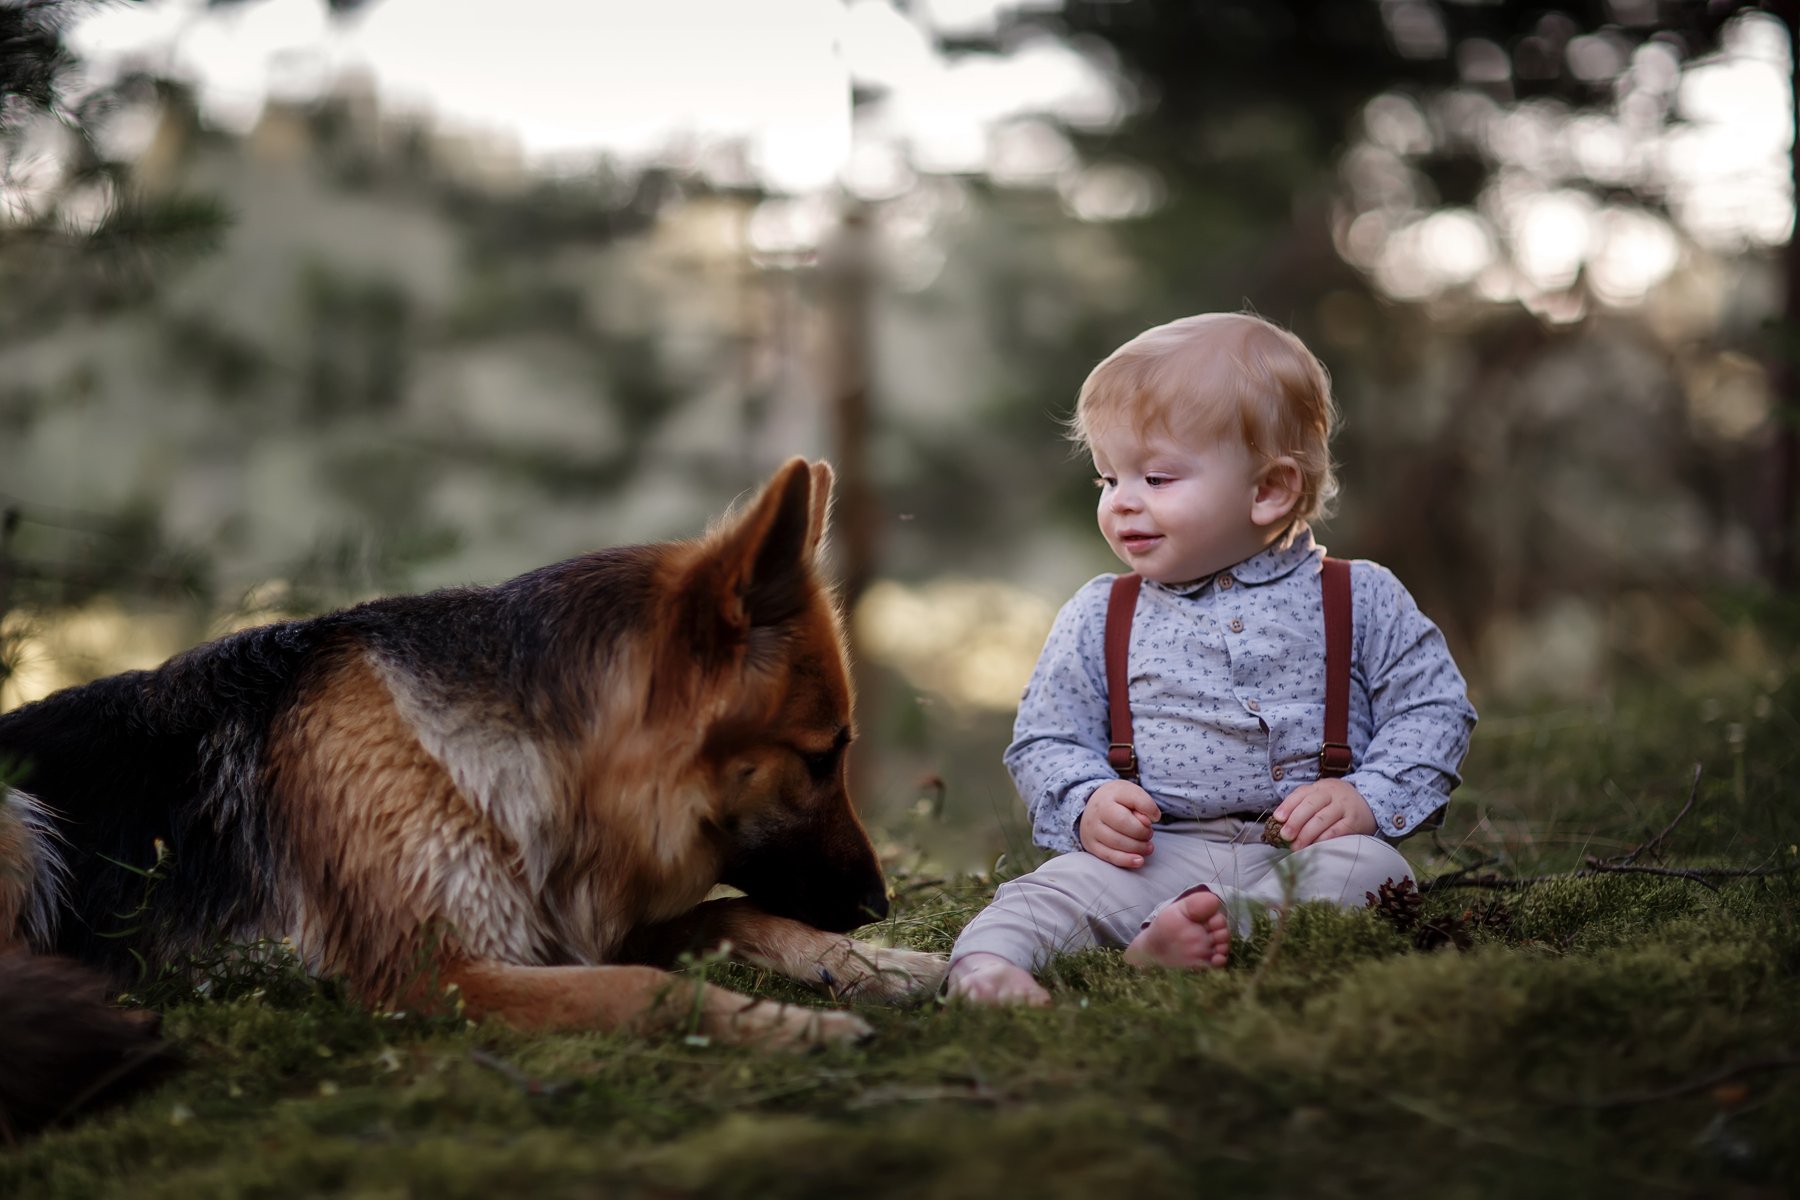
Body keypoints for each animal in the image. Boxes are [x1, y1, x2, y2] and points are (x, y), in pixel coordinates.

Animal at [0, 464, 950, 1079]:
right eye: (822, 757)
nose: (879, 906)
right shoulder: (436, 975)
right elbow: (640, 987)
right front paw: (792, 1026)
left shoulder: (568, 926)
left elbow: (733, 911)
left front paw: (874, 967)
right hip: (20, 823)